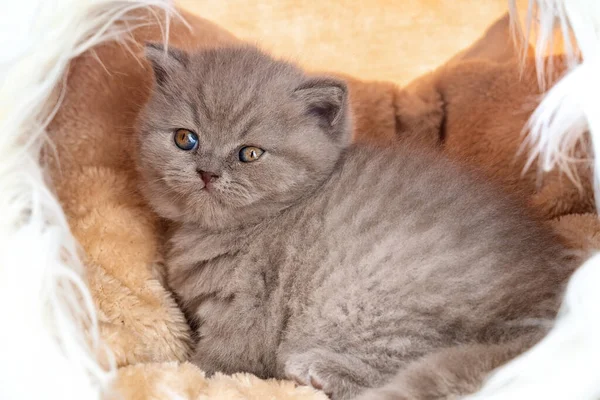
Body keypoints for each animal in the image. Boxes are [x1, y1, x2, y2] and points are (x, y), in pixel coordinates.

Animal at [135, 44, 580, 400]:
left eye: (249, 154)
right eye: (185, 139)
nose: (207, 173)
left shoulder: (249, 306)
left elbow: (218, 363)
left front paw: (191, 372)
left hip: (371, 295)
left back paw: (318, 370)